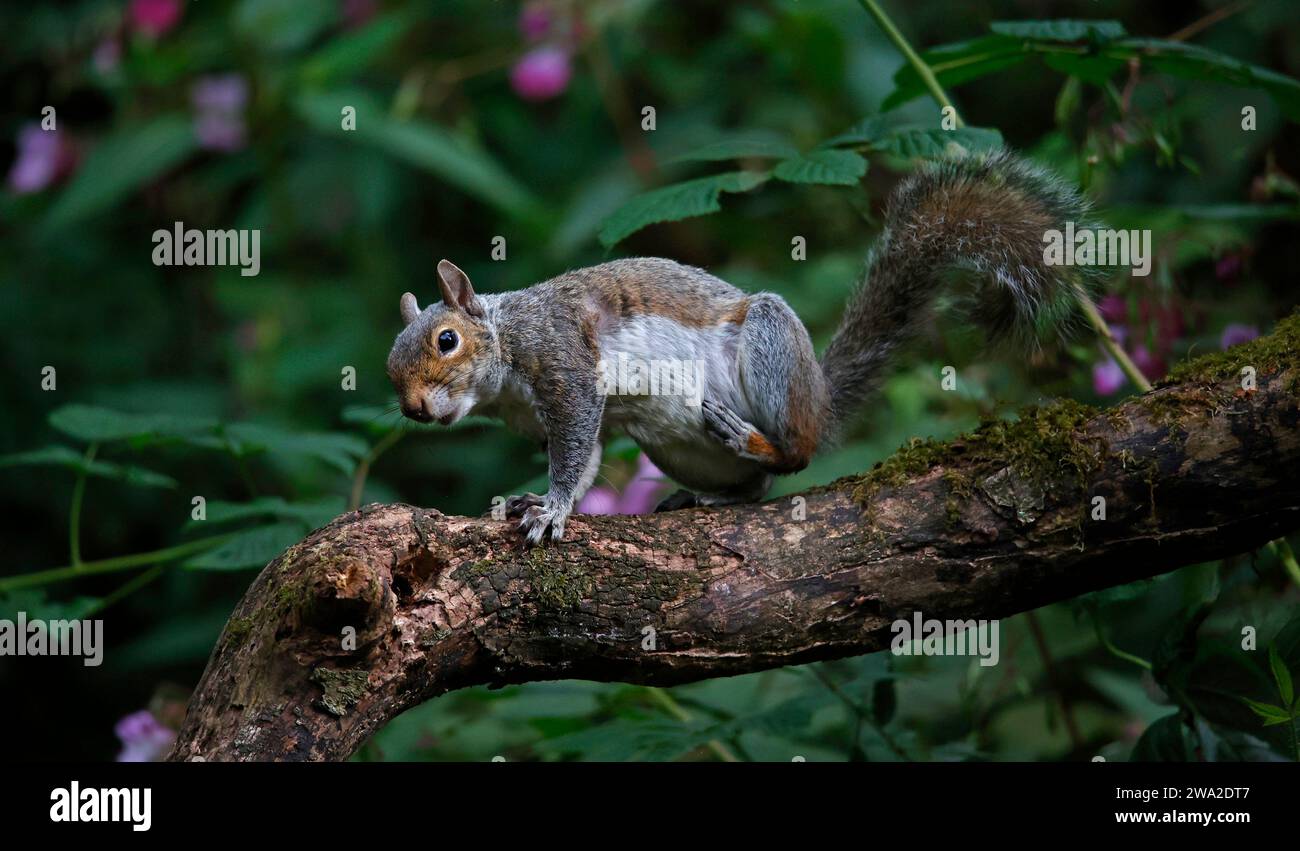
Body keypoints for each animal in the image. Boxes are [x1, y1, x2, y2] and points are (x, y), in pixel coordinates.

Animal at [387, 148, 1097, 543]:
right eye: (391, 364)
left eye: (447, 341)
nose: (414, 409)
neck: (506, 346)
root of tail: (819, 400)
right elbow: (586, 460)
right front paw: (538, 499)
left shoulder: (566, 367)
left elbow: (575, 452)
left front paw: (551, 509)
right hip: (670, 444)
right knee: (755, 491)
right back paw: (709, 495)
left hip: (770, 344)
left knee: (797, 456)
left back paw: (759, 440)